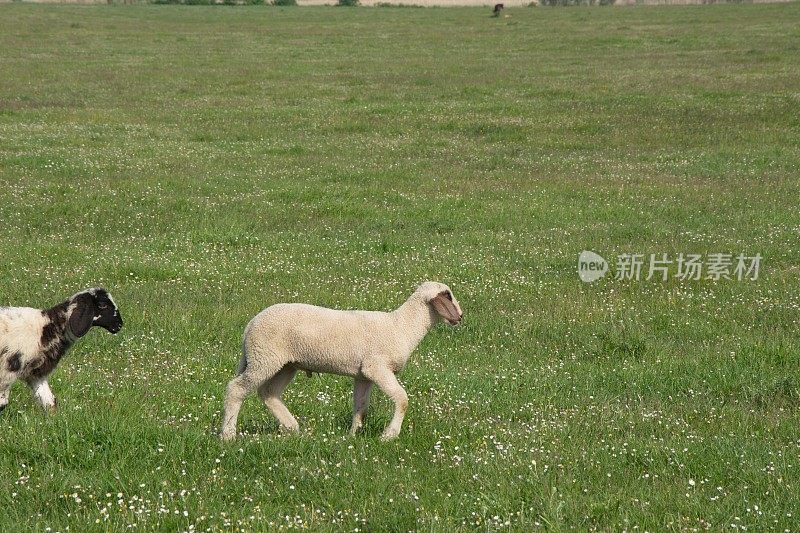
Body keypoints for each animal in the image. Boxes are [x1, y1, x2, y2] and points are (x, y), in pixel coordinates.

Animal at [222, 282, 462, 440]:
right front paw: (389, 435)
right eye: (448, 296)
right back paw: (228, 435)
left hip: (285, 364)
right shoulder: (376, 367)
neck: (402, 326)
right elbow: (402, 399)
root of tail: (250, 325)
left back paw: (292, 427)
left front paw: (352, 435)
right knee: (236, 389)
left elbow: (360, 406)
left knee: (269, 393)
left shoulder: (363, 375)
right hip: (264, 357)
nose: (460, 317)